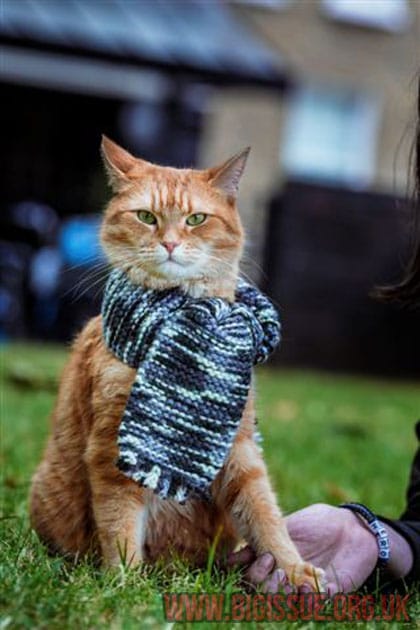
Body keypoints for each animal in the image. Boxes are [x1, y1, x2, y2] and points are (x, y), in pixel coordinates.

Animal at [29, 137, 324, 592]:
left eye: (196, 219)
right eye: (146, 216)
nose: (169, 244)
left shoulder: (239, 445)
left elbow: (264, 512)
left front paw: (294, 569)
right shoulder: (112, 452)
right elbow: (120, 527)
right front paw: (126, 586)